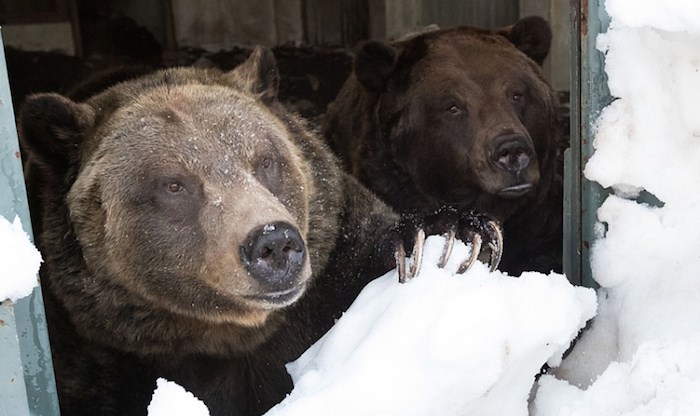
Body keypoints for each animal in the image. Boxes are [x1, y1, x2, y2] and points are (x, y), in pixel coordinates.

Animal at [20, 46, 504, 416]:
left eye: (265, 160)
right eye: (174, 184)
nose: (273, 241)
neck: (227, 337)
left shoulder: (330, 274)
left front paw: (454, 233)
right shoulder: (97, 357)